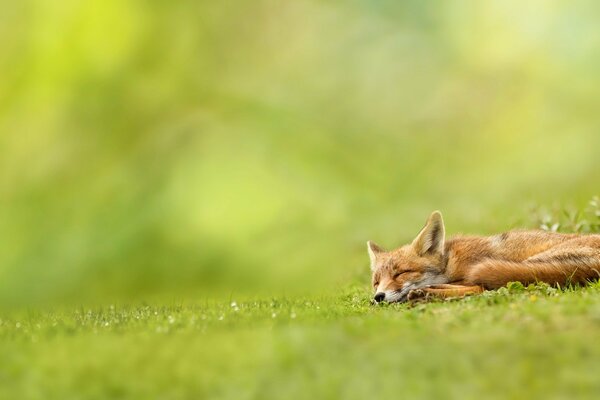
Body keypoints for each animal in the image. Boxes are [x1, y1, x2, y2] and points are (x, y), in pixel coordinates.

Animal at [368, 211, 600, 302]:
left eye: (401, 273)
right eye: (376, 282)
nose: (378, 297)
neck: (450, 262)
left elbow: (476, 287)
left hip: (530, 264)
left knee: (485, 288)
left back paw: (425, 293)